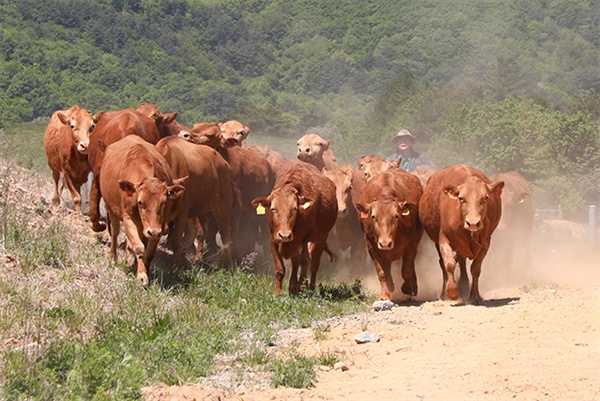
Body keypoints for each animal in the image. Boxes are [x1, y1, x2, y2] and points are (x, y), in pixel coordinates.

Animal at [98, 135, 185, 284]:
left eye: (164, 202)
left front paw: (143, 270)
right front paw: (141, 276)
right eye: (140, 202)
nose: (153, 231)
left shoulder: (159, 226)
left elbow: (148, 253)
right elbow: (139, 247)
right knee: (115, 232)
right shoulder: (128, 219)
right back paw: (113, 257)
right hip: (112, 211)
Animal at [156, 135, 236, 266]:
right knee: (194, 232)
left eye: (166, 202)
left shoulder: (182, 211)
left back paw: (229, 264)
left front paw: (173, 266)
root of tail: (224, 163)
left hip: (223, 207)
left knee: (226, 236)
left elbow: (176, 241)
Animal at [252, 163, 340, 294]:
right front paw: (277, 293)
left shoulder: (308, 237)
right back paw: (293, 287)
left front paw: (301, 286)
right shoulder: (273, 240)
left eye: (295, 209)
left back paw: (309, 287)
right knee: (296, 261)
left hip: (321, 239)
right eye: (273, 209)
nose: (285, 235)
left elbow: (305, 260)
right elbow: (280, 268)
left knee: (313, 263)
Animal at [354, 167, 424, 298]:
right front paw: (385, 294)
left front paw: (407, 288)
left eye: (396, 215)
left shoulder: (411, 244)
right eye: (373, 216)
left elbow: (407, 269)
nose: (385, 244)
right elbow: (382, 273)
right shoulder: (371, 246)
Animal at [418, 163, 506, 304]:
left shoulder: (485, 243)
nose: (473, 223)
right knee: (443, 264)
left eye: (485, 197)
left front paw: (474, 296)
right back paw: (445, 293)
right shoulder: (443, 239)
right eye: (461, 198)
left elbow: (475, 269)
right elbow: (449, 264)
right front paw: (452, 292)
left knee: (462, 262)